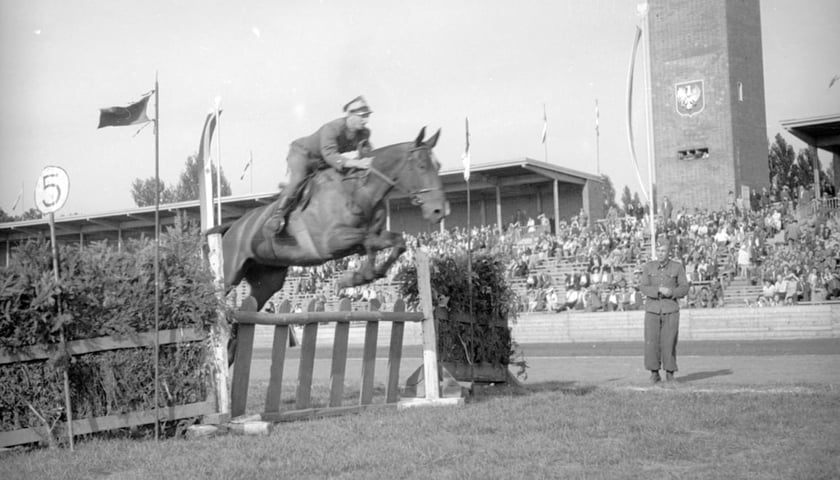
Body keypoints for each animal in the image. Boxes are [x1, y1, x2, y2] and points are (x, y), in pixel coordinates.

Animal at [208, 126, 450, 312]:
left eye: (439, 166)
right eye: (421, 166)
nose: (439, 211)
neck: (359, 191)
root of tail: (233, 226)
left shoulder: (371, 236)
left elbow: (396, 241)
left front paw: (364, 276)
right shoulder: (331, 242)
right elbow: (368, 240)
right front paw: (357, 277)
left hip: (268, 280)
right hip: (229, 273)